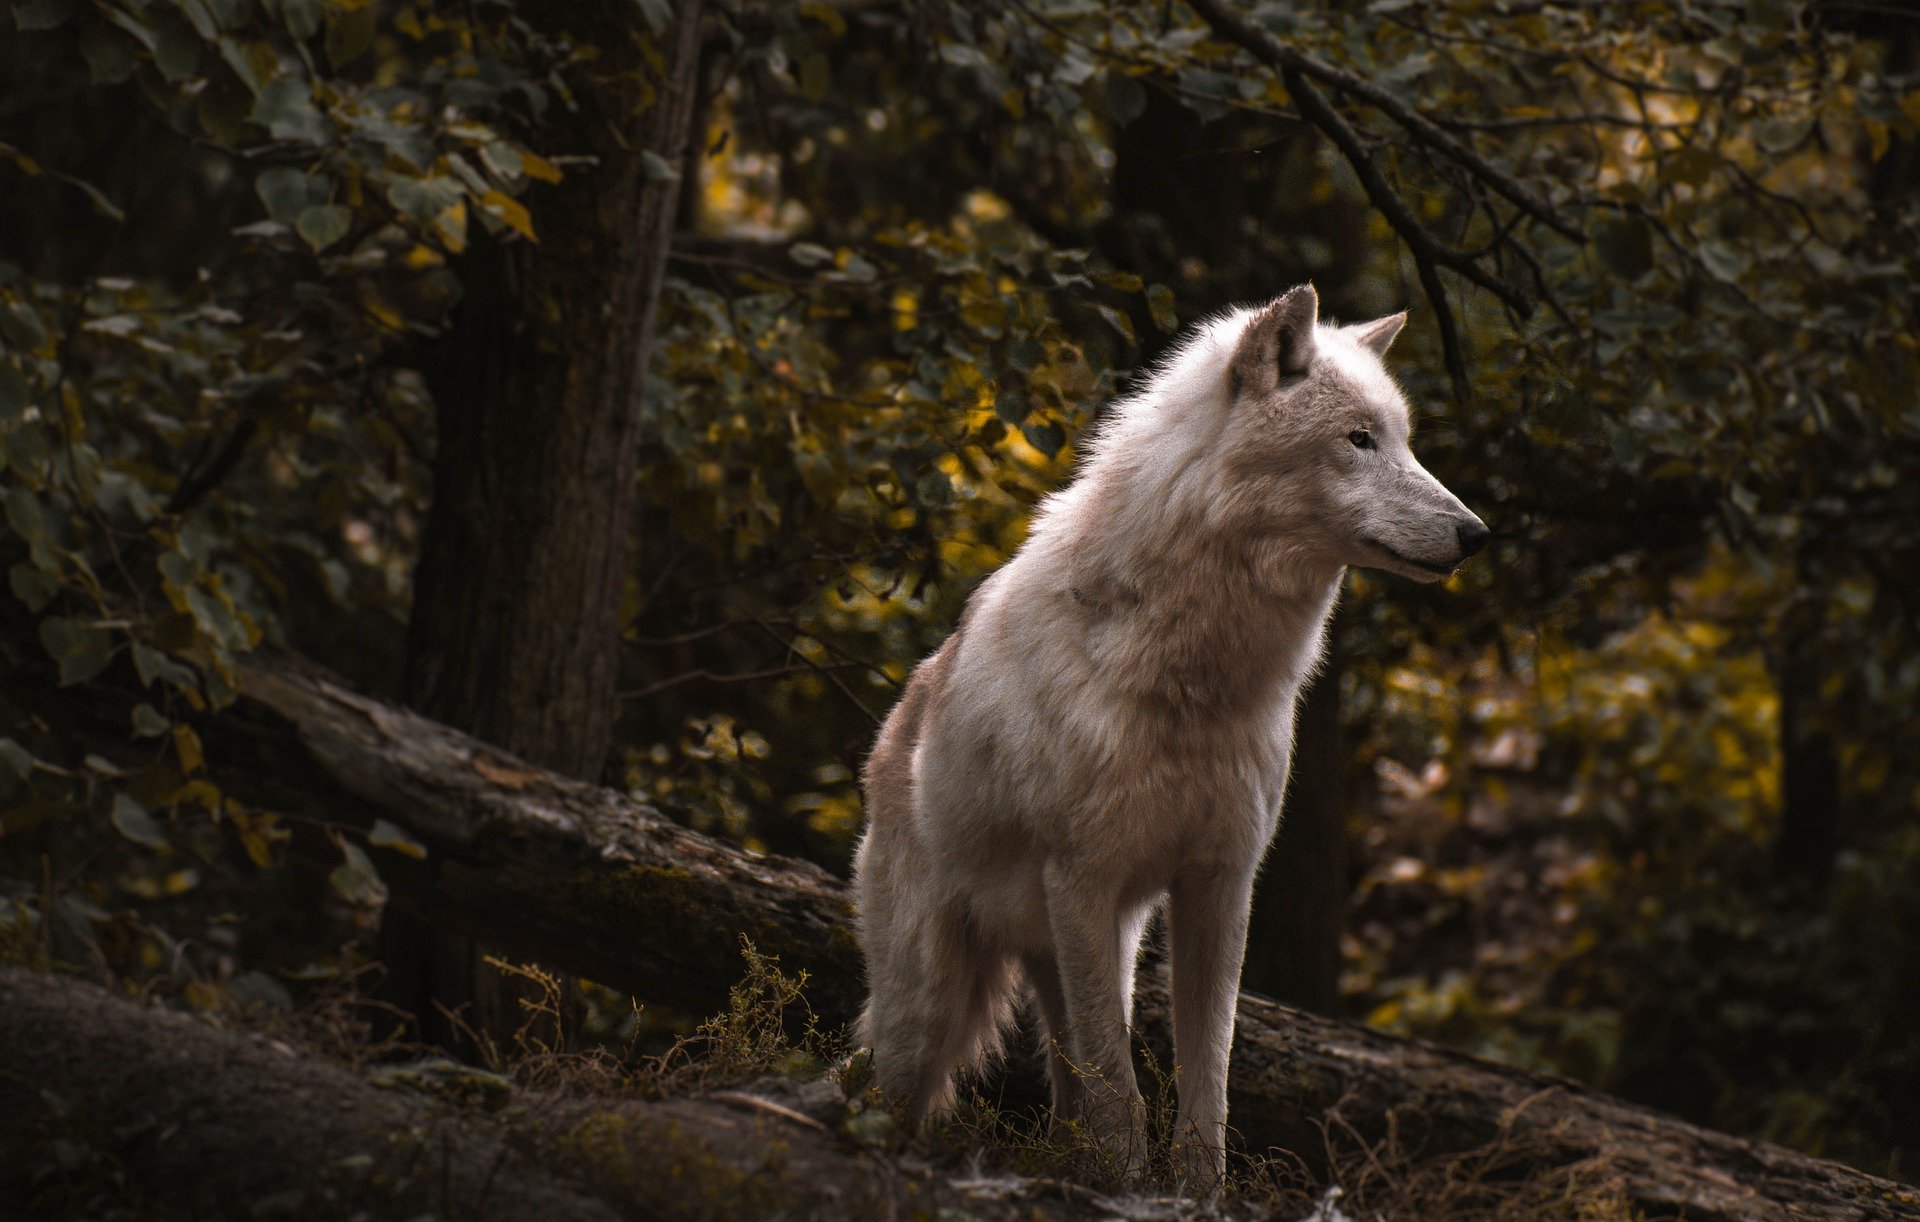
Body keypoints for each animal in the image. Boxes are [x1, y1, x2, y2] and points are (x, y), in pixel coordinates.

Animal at [852, 284, 1486, 1185]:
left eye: (1402, 439)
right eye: (1359, 439)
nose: (1477, 534)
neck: (1196, 683)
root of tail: (891, 732)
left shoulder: (1221, 883)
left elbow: (1205, 1076)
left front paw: (1194, 1190)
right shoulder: (1080, 879)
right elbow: (1120, 1088)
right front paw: (1127, 1184)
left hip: (1093, 954)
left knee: (1066, 1080)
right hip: (935, 1002)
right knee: (899, 1083)